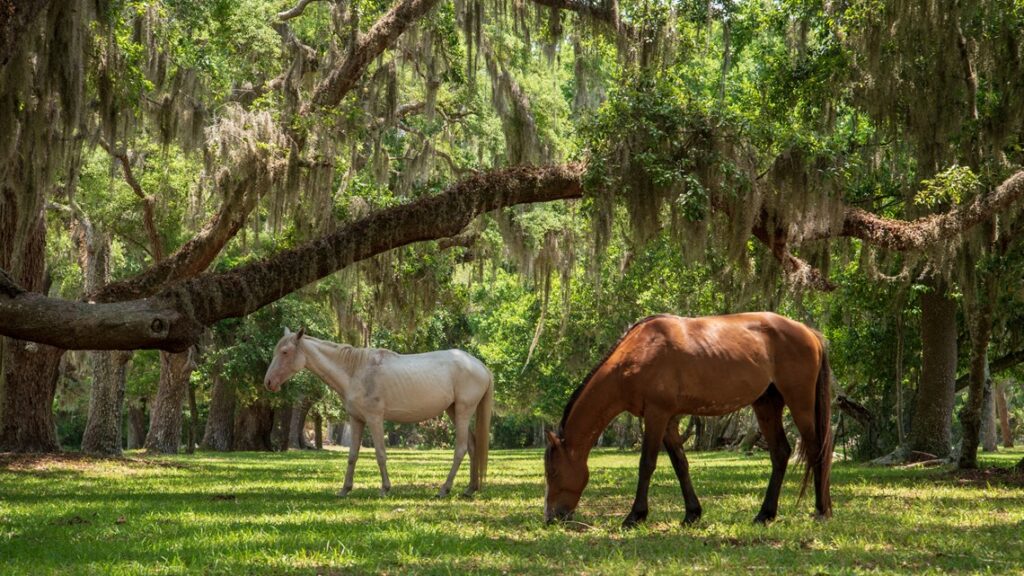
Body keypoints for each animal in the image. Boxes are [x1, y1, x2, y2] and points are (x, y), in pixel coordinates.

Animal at [264, 328, 493, 498]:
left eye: (285, 352)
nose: (268, 382)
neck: (355, 370)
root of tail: (481, 366)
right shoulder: (356, 420)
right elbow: (352, 455)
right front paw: (345, 489)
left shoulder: (374, 419)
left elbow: (380, 454)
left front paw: (385, 488)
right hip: (453, 411)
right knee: (472, 446)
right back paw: (470, 489)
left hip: (463, 411)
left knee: (461, 449)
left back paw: (444, 489)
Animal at [544, 312, 833, 527]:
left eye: (553, 471)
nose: (551, 518)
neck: (637, 354)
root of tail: (809, 332)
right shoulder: (668, 420)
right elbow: (680, 464)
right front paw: (692, 514)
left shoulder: (657, 414)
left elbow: (646, 464)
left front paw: (635, 516)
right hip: (767, 405)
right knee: (780, 453)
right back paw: (765, 515)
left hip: (800, 403)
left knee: (815, 450)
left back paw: (821, 510)